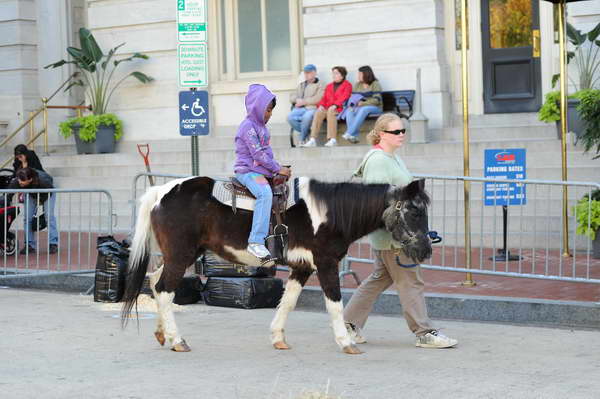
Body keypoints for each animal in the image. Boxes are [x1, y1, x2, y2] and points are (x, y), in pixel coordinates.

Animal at [123, 177, 432, 354]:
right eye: (415, 211)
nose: (426, 251)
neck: (329, 212)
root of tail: (162, 191)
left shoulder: (302, 267)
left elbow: (288, 302)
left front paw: (278, 338)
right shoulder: (326, 263)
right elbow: (335, 303)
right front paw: (346, 342)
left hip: (180, 255)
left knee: (156, 282)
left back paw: (162, 334)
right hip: (181, 254)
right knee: (165, 289)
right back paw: (177, 340)